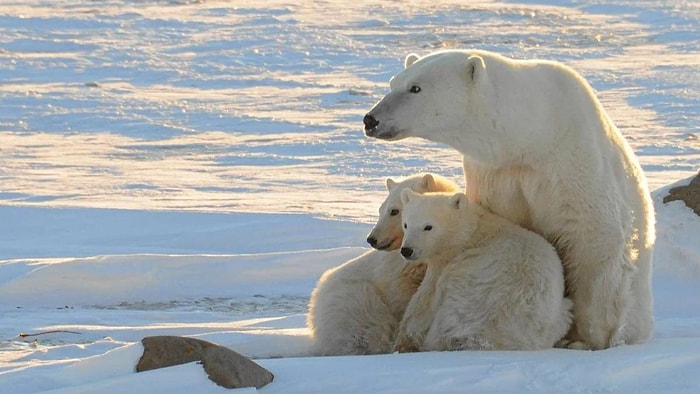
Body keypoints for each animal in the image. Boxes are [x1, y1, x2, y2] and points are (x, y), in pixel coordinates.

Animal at [392, 189, 572, 352]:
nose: (407, 250)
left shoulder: (449, 260)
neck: (472, 230)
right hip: (554, 320)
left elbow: (424, 300)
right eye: (406, 224)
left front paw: (404, 338)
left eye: (428, 227)